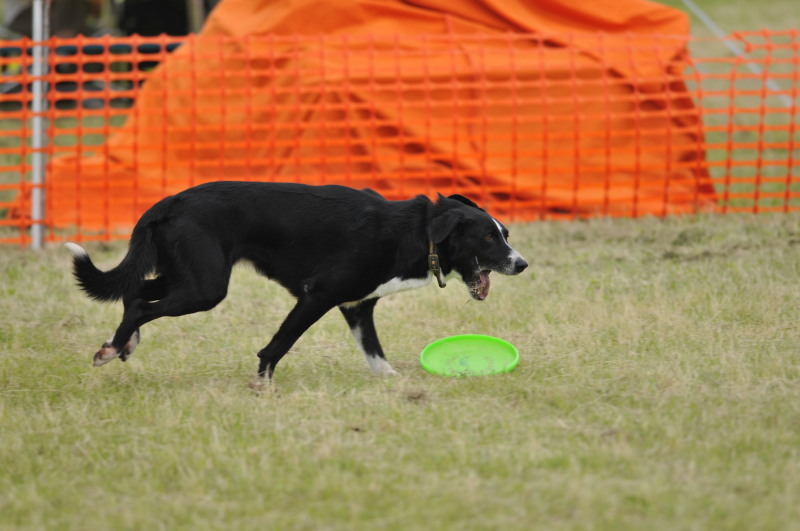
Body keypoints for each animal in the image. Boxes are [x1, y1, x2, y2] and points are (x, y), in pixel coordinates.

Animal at [67, 182, 524, 378]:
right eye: (488, 237)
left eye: (505, 233)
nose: (522, 264)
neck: (417, 231)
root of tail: (168, 202)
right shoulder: (317, 296)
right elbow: (277, 346)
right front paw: (262, 387)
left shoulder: (357, 307)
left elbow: (376, 356)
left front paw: (396, 386)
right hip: (205, 287)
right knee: (140, 303)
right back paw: (111, 349)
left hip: (188, 278)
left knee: (135, 293)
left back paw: (123, 344)